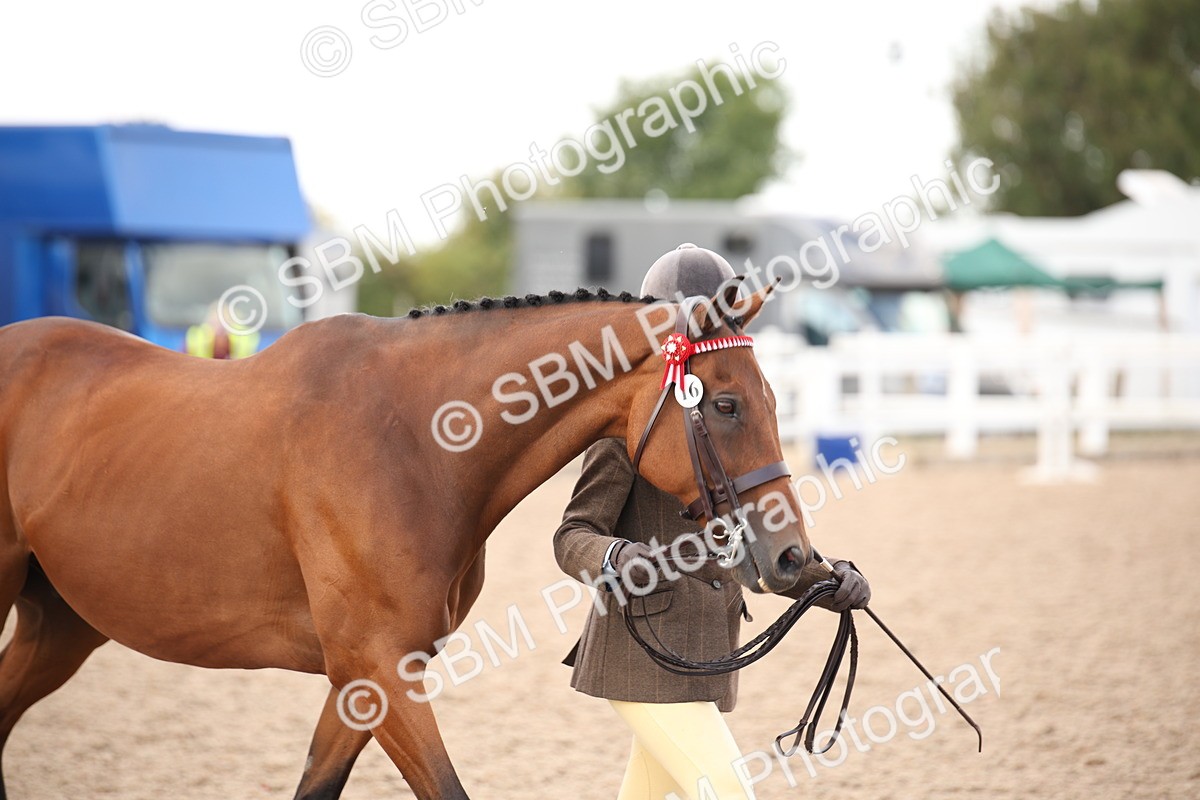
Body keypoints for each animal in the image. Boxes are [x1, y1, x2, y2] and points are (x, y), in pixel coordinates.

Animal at [0, 281, 809, 799]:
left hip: (61, 625)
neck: (414, 442)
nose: (794, 556)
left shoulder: (363, 680)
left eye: (776, 399)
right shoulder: (380, 672)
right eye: (727, 404)